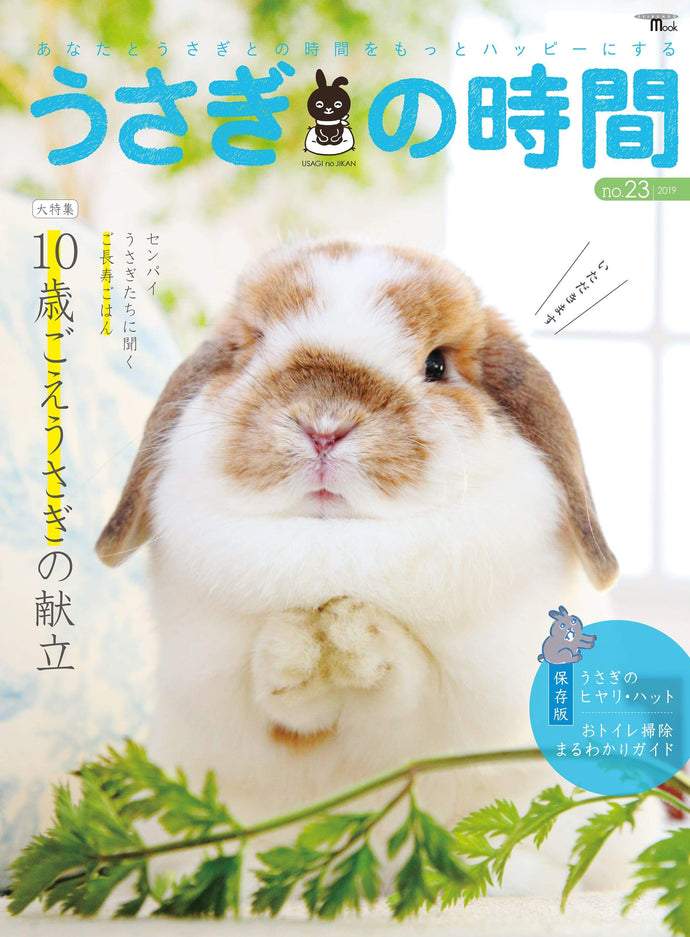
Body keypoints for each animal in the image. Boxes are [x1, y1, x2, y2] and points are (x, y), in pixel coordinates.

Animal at [96, 240, 655, 896]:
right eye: (254, 346)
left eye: (437, 365)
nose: (324, 426)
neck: (335, 543)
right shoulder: (218, 682)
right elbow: (276, 693)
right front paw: (300, 638)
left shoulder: (461, 699)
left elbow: (410, 684)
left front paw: (351, 633)